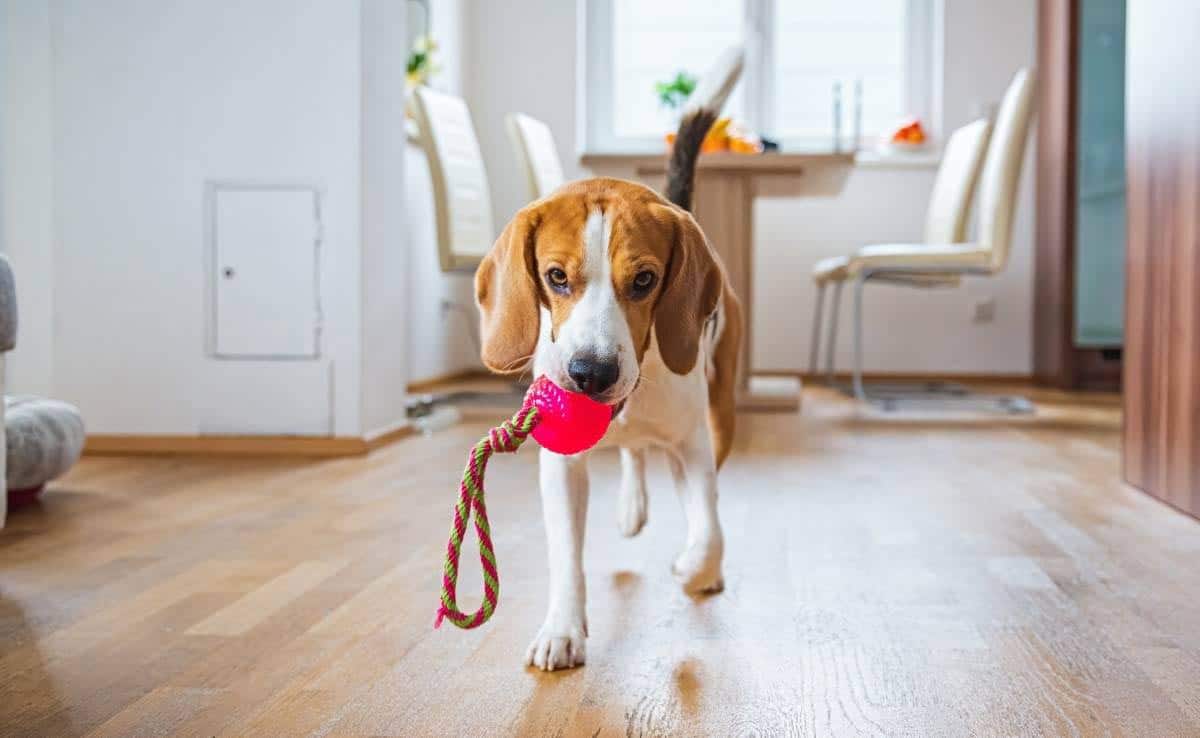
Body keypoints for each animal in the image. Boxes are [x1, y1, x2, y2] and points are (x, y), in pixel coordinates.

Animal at [475, 108, 739, 672]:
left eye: (644, 280)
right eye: (555, 276)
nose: (590, 374)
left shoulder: (693, 446)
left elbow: (709, 528)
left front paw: (695, 568)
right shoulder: (561, 466)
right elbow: (565, 556)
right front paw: (562, 628)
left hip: (721, 414)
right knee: (632, 454)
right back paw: (630, 506)